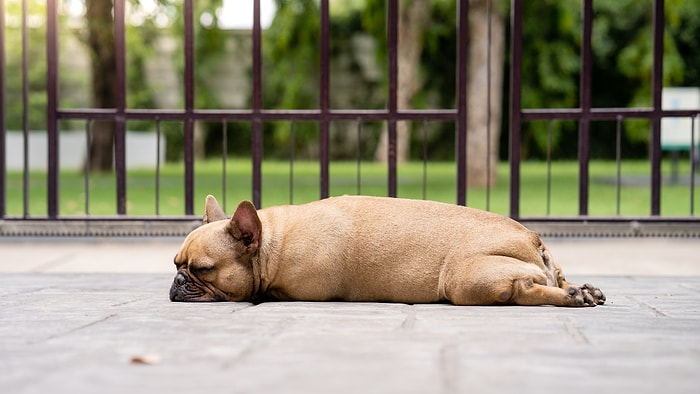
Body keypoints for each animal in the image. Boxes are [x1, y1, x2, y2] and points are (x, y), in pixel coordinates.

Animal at [167, 195, 604, 306]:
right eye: (175, 264)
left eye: (201, 270)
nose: (176, 282)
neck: (270, 242)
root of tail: (531, 238)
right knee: (551, 278)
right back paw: (583, 289)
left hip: (464, 278)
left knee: (523, 289)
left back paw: (570, 296)